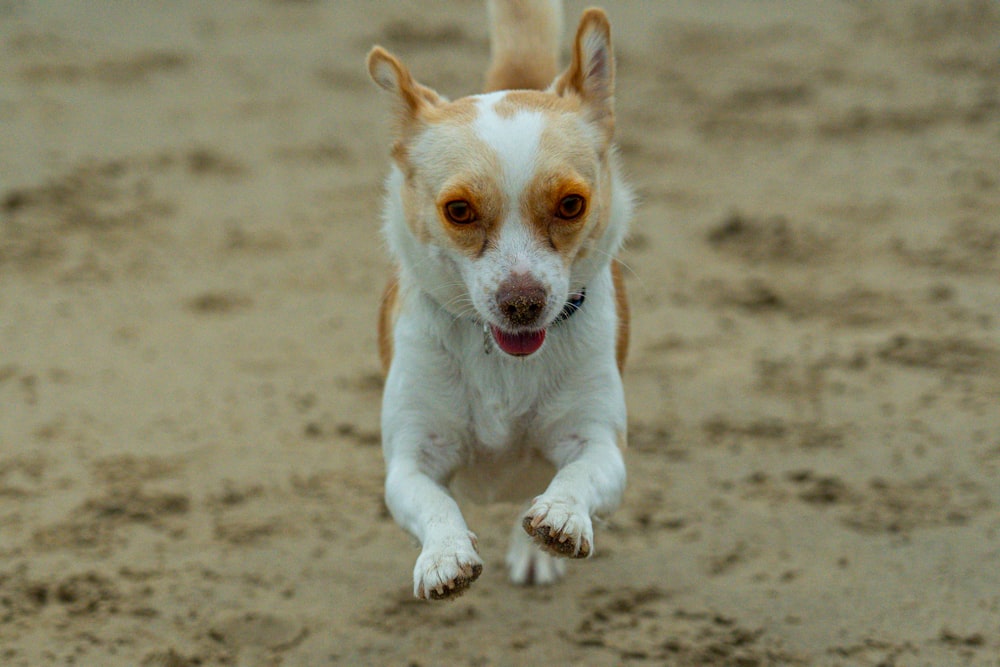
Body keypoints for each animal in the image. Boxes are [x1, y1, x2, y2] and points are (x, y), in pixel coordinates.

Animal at [368, 0, 632, 604]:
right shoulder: (411, 461)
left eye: (572, 204)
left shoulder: (601, 444)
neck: (501, 360)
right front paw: (444, 556)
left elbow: (578, 476)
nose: (522, 302)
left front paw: (561, 516)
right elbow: (436, 502)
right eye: (458, 211)